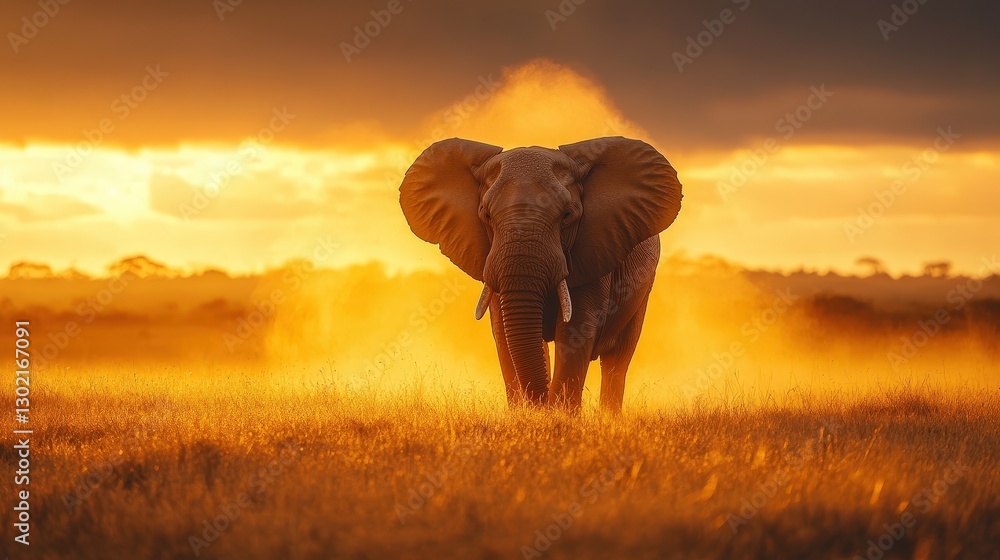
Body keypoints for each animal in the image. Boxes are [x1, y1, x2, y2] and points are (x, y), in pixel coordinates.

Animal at [399, 136, 682, 411]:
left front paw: (559, 415)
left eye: (567, 216)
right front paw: (528, 416)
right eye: (486, 215)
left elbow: (576, 330)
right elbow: (504, 333)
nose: (542, 404)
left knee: (617, 360)